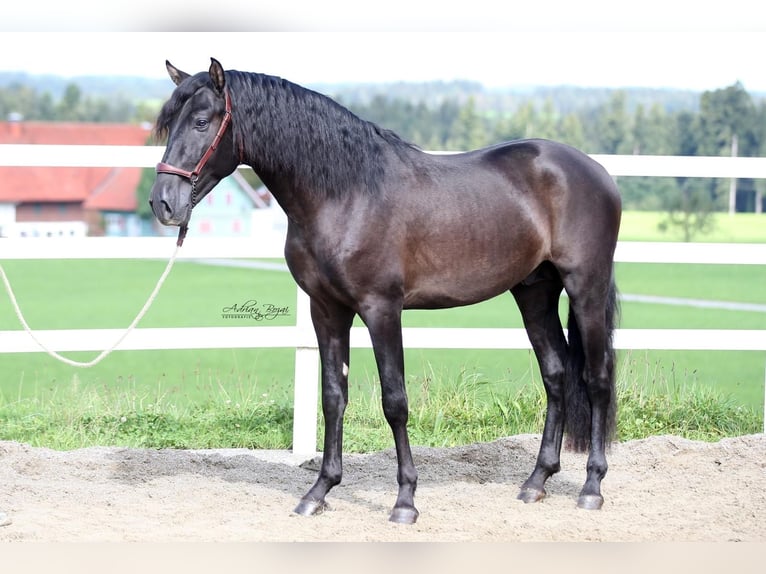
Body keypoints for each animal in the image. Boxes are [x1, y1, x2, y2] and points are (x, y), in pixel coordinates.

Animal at [150, 58, 624, 528]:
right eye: (169, 122)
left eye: (201, 121)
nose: (163, 203)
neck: (346, 195)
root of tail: (596, 171)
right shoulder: (327, 310)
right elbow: (333, 397)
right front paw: (319, 491)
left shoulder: (381, 309)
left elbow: (394, 401)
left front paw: (405, 501)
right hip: (534, 292)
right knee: (556, 373)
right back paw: (537, 481)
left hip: (585, 287)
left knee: (597, 377)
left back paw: (592, 487)